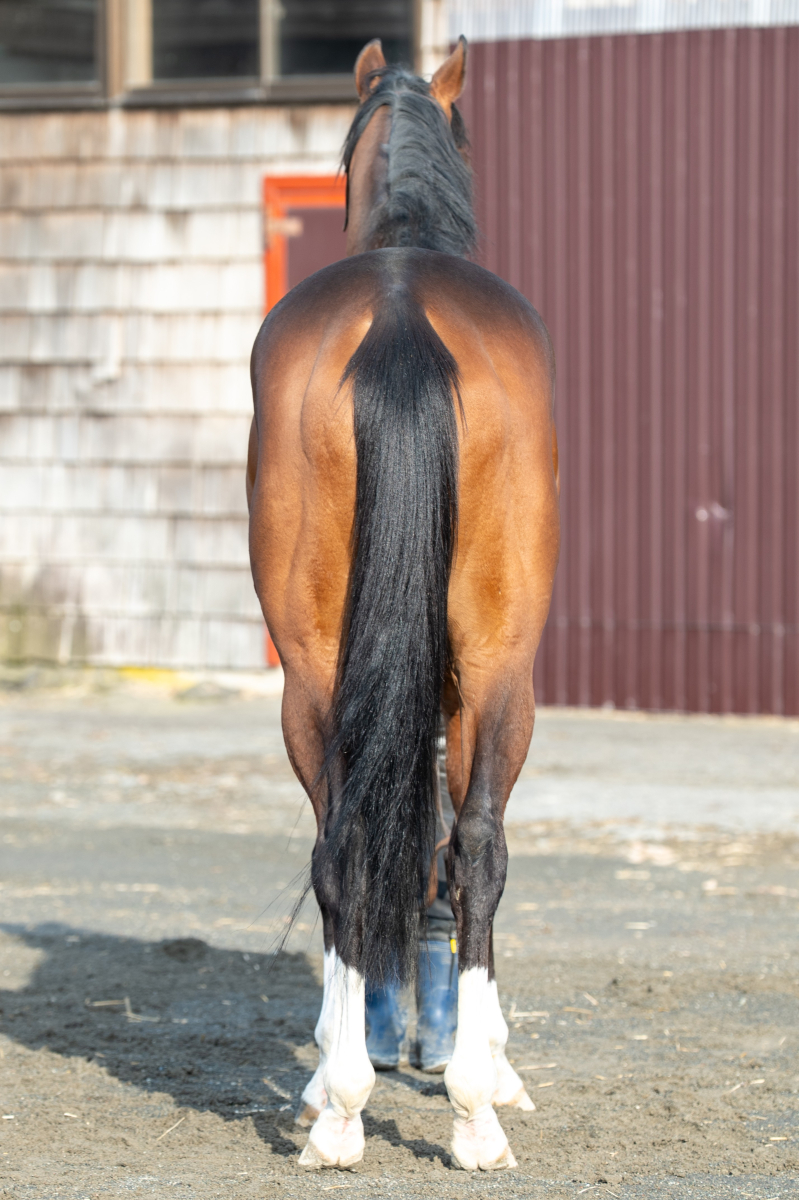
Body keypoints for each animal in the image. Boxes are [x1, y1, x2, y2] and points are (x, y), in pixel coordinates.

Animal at [247, 37, 560, 1172]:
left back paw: (344, 1104)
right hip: (503, 673)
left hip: (314, 672)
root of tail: (396, 313)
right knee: (472, 849)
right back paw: (449, 1105)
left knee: (347, 846)